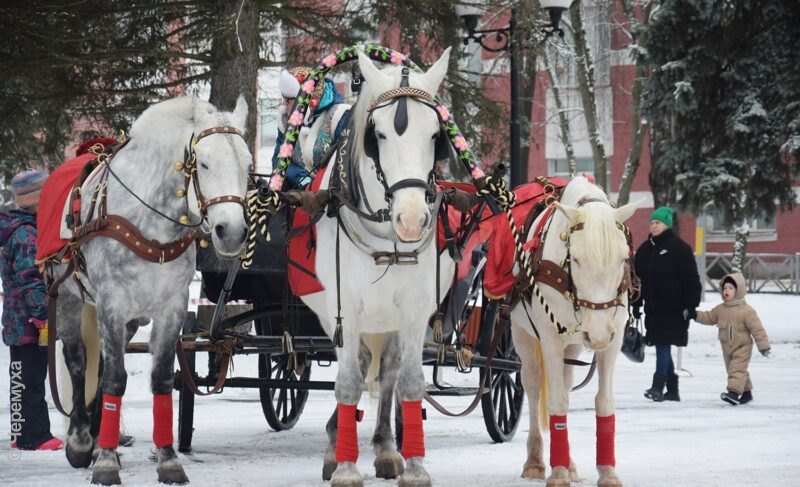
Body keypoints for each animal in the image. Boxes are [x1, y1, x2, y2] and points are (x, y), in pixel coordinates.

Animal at [50, 97, 250, 486]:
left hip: (129, 318)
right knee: (79, 361)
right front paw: (106, 463)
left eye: (248, 165)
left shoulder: (170, 307)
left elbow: (159, 380)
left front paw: (168, 460)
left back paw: (97, 436)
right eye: (204, 162)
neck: (151, 225)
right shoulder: (111, 304)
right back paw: (81, 440)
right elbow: (114, 380)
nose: (231, 231)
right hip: (68, 298)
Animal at [296, 46, 454, 487]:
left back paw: (385, 447)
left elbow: (410, 383)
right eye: (378, 135)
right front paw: (346, 468)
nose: (411, 219)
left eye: (435, 135)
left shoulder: (416, 310)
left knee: (387, 372)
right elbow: (348, 382)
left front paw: (415, 466)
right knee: (360, 365)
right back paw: (336, 445)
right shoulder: (345, 308)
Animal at [512, 176, 636, 487]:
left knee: (566, 383)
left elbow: (604, 402)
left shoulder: (613, 338)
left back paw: (569, 463)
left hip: (574, 344)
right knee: (533, 384)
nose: (598, 334)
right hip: (522, 333)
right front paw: (556, 474)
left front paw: (607, 471)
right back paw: (536, 461)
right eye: (577, 259)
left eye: (623, 258)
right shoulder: (550, 339)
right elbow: (556, 400)